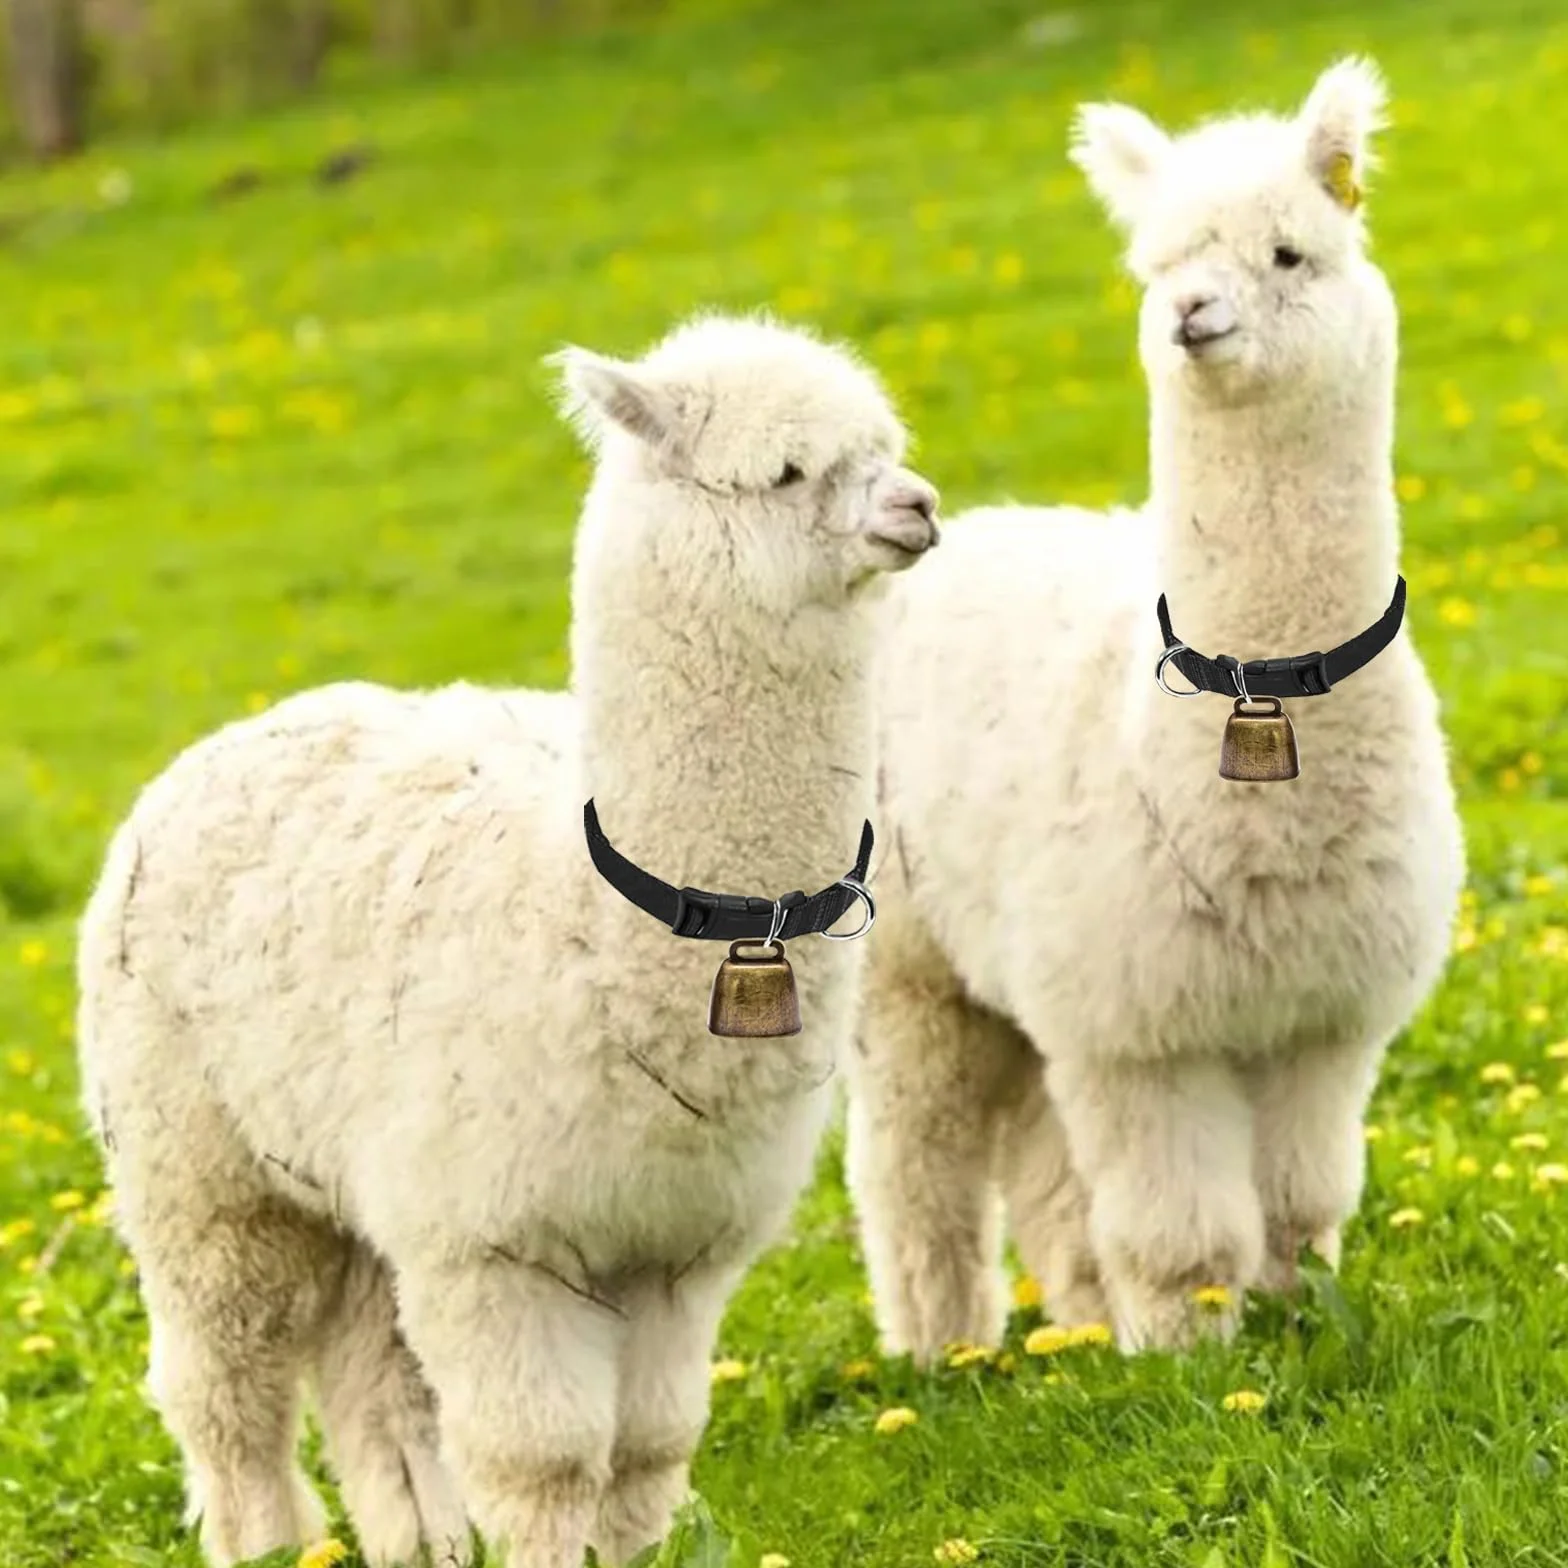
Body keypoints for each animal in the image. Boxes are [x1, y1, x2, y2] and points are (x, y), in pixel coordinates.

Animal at [76, 312, 940, 1568]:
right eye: (785, 471)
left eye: (884, 449)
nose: (917, 507)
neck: (608, 919)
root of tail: (232, 734)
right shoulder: (494, 1239)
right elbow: (545, 1460)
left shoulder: (672, 1244)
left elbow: (648, 1445)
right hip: (197, 1160)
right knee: (223, 1377)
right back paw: (267, 1539)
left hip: (359, 1183)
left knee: (370, 1372)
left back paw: (416, 1539)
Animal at [844, 58, 1465, 1358]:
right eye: (1157, 263)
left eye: (1287, 252)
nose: (1190, 314)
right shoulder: (1139, 1024)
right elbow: (1179, 1223)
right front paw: (1185, 1346)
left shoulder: (1316, 1016)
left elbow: (1297, 1199)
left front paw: (1292, 1308)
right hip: (905, 960)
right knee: (912, 1153)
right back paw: (942, 1343)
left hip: (1017, 970)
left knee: (1039, 1159)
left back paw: (1078, 1319)